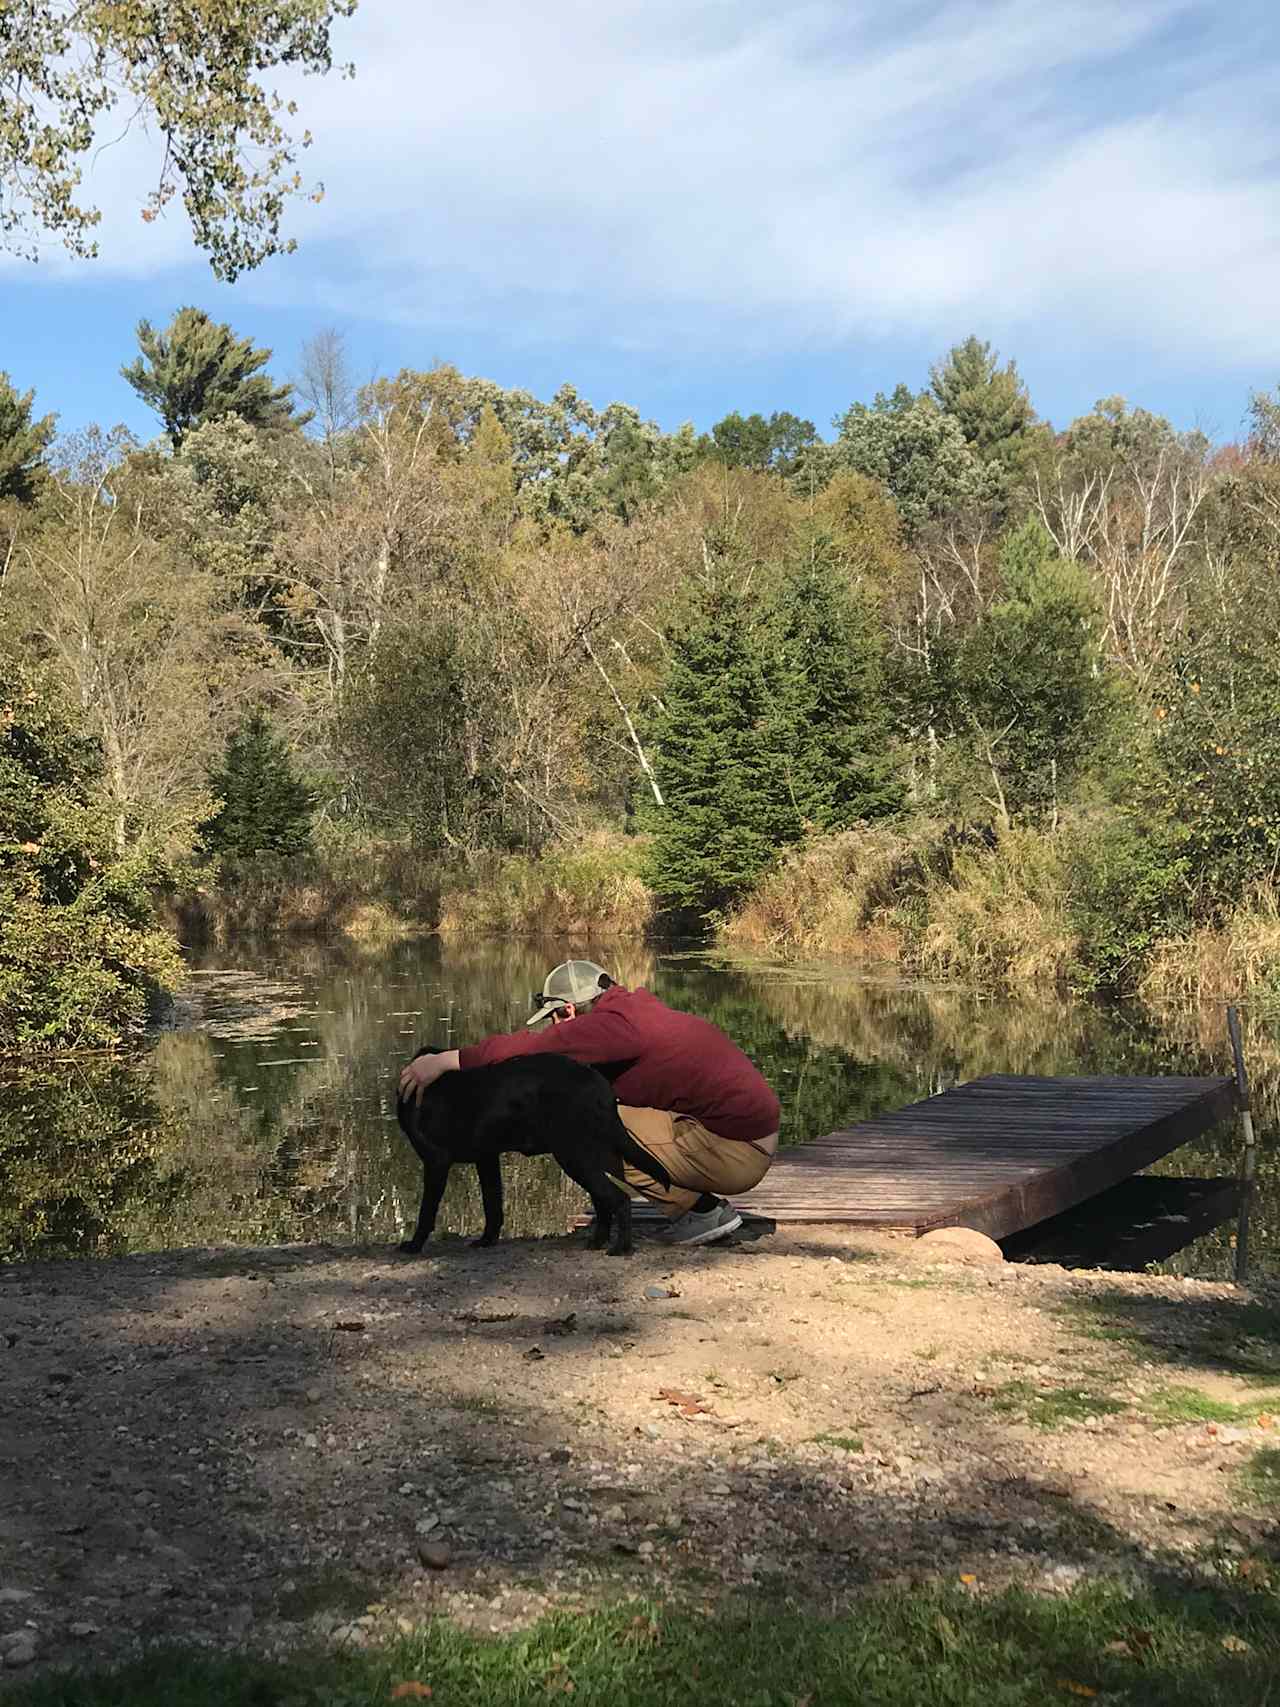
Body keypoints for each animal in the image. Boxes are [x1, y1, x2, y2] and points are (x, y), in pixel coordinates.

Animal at [399, 1044, 675, 1263]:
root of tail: (599, 1083)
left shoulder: (436, 1161)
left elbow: (426, 1212)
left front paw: (413, 1245)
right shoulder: (486, 1158)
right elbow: (492, 1204)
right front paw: (486, 1241)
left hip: (575, 1155)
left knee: (618, 1199)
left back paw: (621, 1248)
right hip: (595, 1156)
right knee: (603, 1200)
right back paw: (597, 1243)